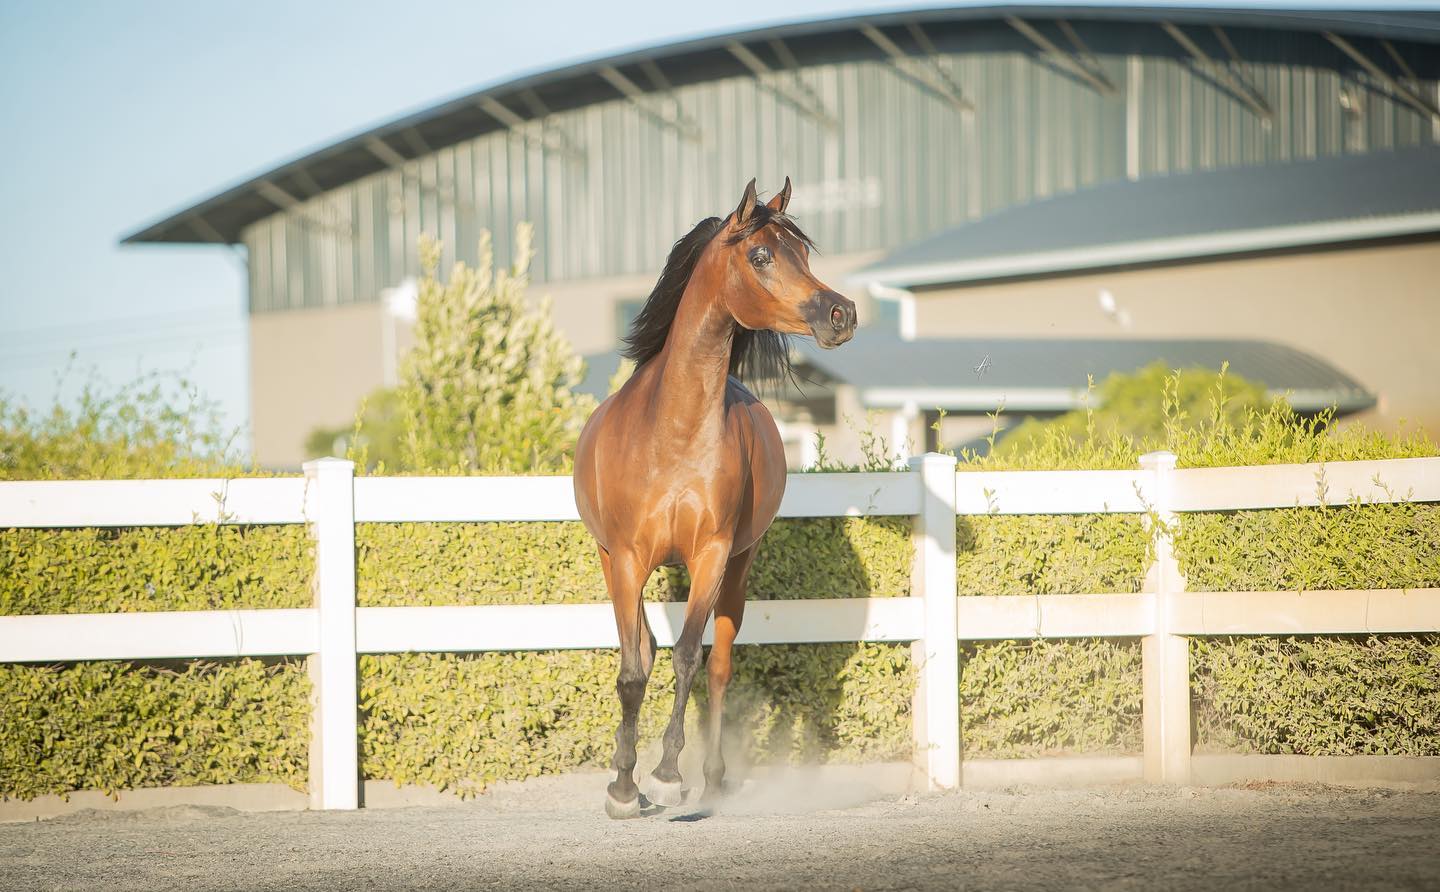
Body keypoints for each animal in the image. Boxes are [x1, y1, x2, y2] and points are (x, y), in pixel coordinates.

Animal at [576, 177, 852, 818]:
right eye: (762, 255)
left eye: (802, 254)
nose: (841, 313)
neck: (673, 432)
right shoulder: (627, 558)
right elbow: (634, 669)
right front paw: (623, 787)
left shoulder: (712, 554)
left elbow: (688, 657)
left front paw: (666, 775)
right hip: (613, 562)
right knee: (642, 650)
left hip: (740, 566)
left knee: (719, 664)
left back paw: (713, 778)